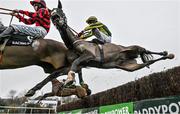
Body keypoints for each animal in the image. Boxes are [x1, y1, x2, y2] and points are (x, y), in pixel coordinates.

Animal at [25, 0, 174, 97]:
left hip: (134, 48)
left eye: (61, 11)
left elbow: (75, 63)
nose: (56, 18)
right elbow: (53, 74)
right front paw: (32, 91)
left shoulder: (89, 56)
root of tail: (131, 55)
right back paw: (160, 58)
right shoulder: (70, 66)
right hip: (130, 67)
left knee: (145, 50)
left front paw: (69, 80)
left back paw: (167, 54)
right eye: (52, 14)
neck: (73, 43)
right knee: (148, 62)